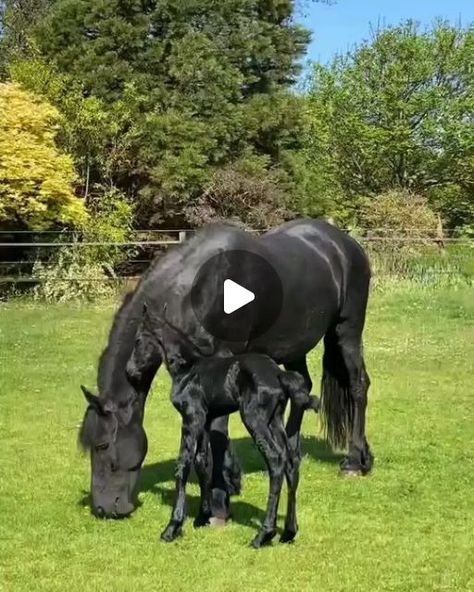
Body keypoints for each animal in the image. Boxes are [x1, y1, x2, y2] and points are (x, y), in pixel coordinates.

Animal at [78, 217, 374, 520]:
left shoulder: (222, 357)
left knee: (358, 385)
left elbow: (218, 430)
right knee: (302, 387)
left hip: (346, 331)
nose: (103, 508)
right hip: (295, 346)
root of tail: (346, 244)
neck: (198, 288)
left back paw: (354, 462)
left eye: (102, 445)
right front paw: (230, 481)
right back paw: (293, 450)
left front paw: (219, 505)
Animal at [128, 308, 316, 548]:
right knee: (291, 462)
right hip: (275, 421)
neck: (187, 369)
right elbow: (202, 462)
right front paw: (202, 517)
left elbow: (183, 465)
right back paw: (288, 533)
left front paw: (172, 528)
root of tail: (279, 374)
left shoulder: (191, 417)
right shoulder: (206, 420)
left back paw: (263, 535)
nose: (130, 371)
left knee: (275, 460)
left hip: (255, 420)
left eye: (138, 340)